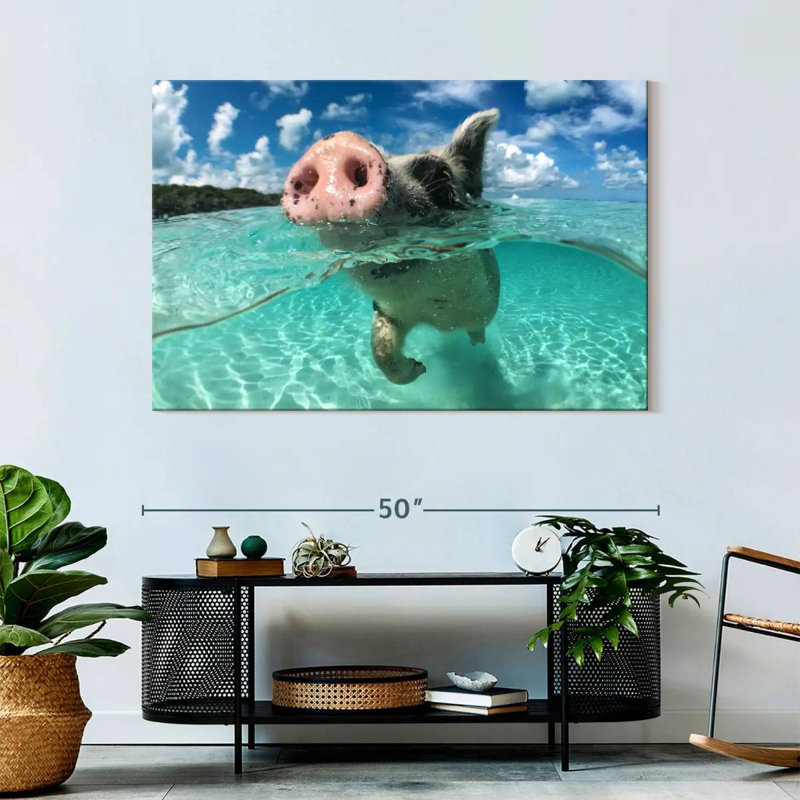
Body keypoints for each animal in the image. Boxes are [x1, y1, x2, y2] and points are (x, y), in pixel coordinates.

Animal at [282, 109, 500, 385]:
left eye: (439, 175)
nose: (333, 146)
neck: (437, 316)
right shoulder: (387, 311)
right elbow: (381, 350)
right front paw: (420, 368)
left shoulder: (483, 303)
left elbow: (477, 326)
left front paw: (467, 346)